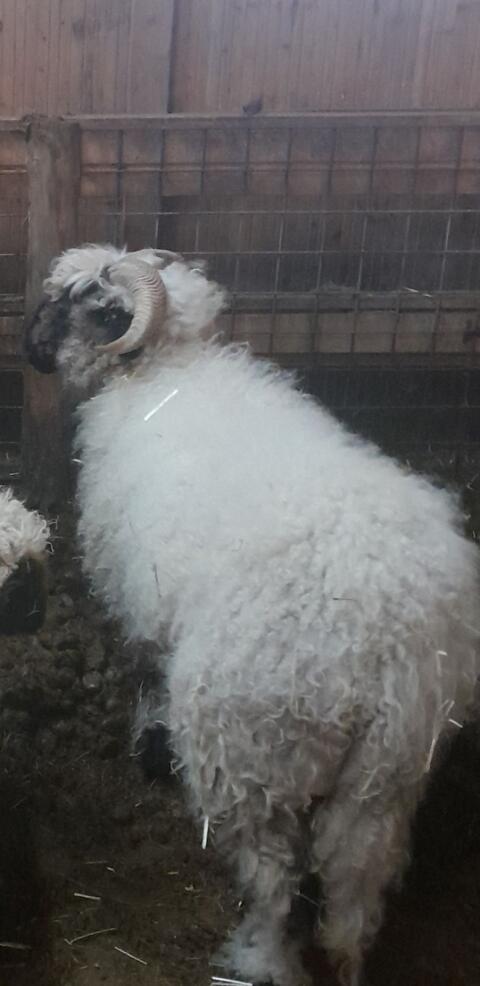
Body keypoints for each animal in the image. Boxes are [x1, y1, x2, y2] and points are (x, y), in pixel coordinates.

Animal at [25, 243, 480, 986]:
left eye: (82, 302)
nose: (28, 348)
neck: (163, 371)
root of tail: (375, 651)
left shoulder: (139, 602)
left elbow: (146, 674)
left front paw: (147, 746)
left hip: (249, 751)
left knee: (272, 875)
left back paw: (257, 955)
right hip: (387, 772)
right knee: (355, 881)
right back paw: (344, 961)